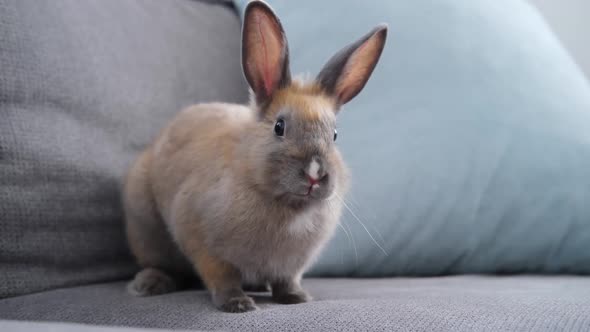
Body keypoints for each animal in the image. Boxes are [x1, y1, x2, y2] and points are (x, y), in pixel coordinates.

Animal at [125, 0, 388, 312]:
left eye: (334, 135)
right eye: (279, 127)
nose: (315, 173)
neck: (288, 206)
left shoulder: (291, 265)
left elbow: (287, 280)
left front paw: (296, 298)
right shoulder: (205, 246)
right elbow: (222, 278)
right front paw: (238, 304)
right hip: (146, 228)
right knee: (159, 264)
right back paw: (149, 285)